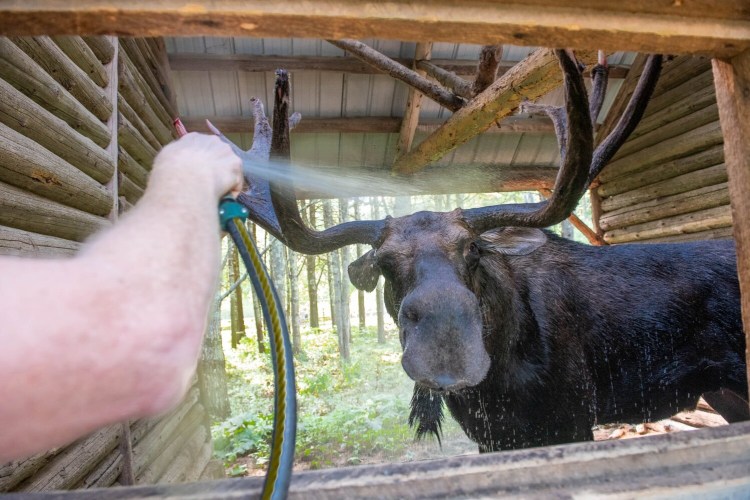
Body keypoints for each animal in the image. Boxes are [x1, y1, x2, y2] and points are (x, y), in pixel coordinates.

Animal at [225, 51, 750, 454]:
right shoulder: (493, 436)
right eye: (387, 265)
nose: (448, 350)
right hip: (726, 393)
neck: (500, 382)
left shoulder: (572, 419)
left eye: (473, 250)